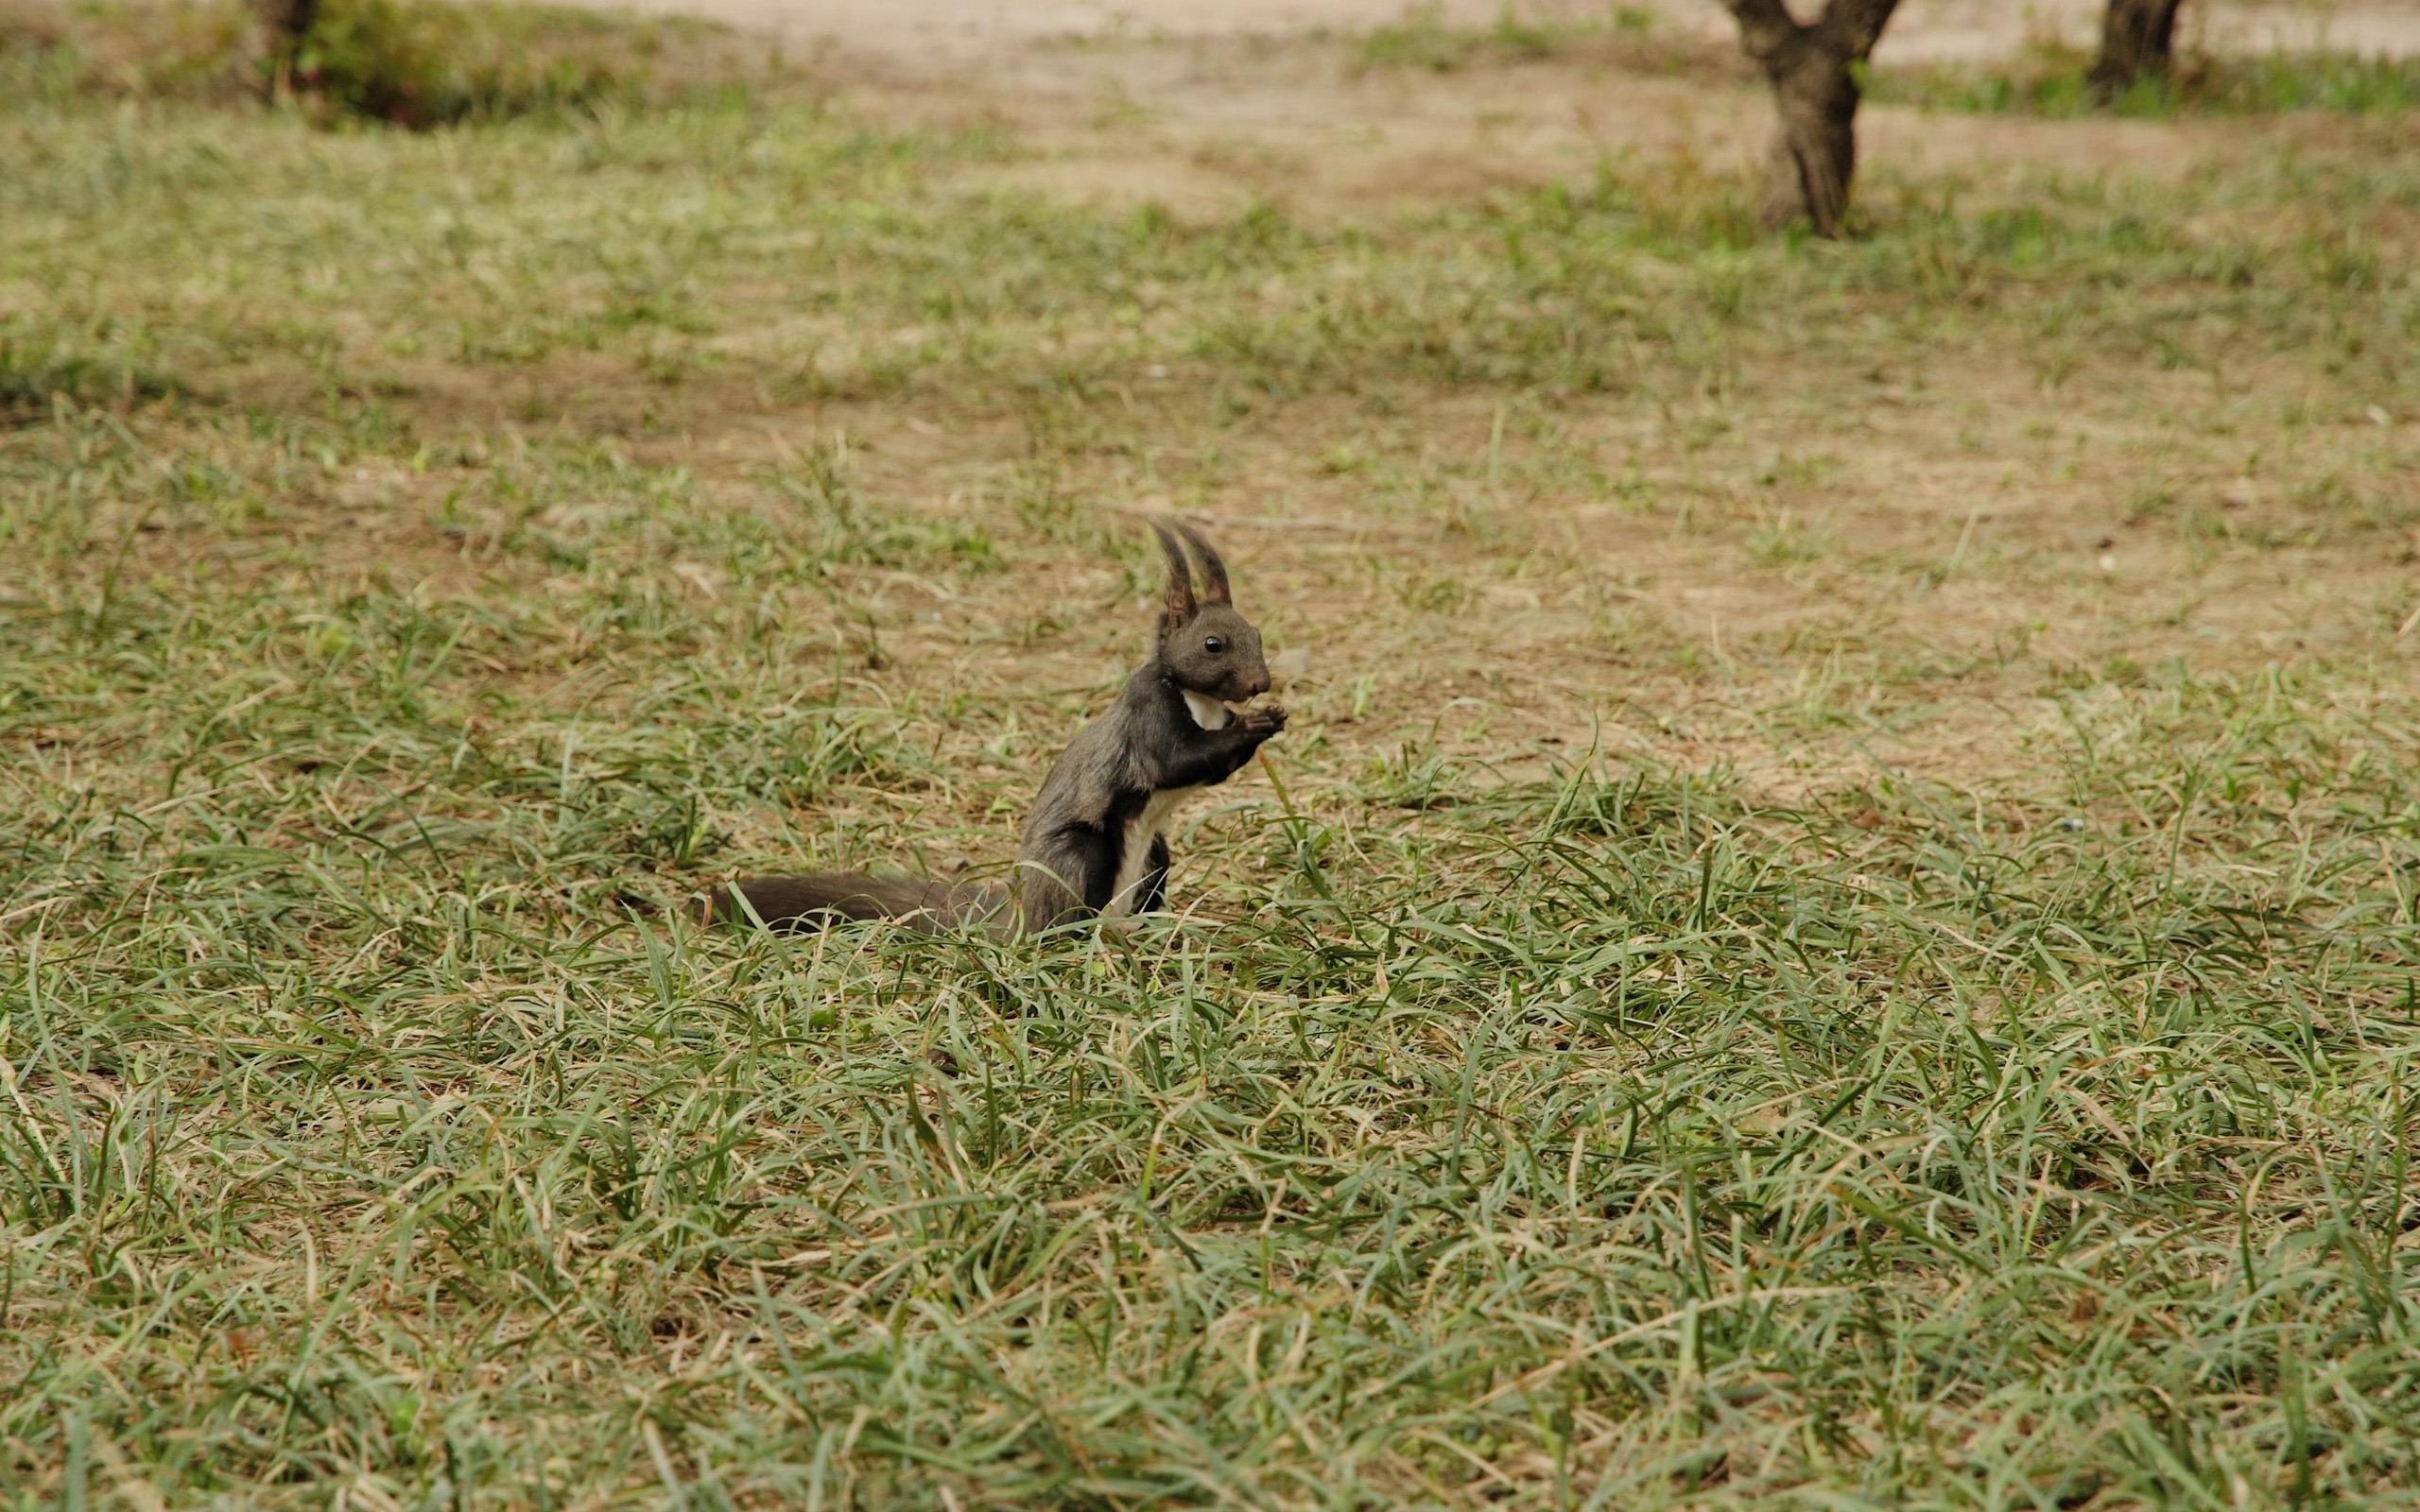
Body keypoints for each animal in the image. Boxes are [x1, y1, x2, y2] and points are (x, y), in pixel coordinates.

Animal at [711, 517, 1297, 934]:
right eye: (1212, 644)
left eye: (1257, 634)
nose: (1261, 683)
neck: (1201, 701)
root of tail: (1016, 914)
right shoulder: (1147, 713)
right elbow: (1176, 761)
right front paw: (1258, 723)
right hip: (1076, 857)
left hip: (1155, 857)